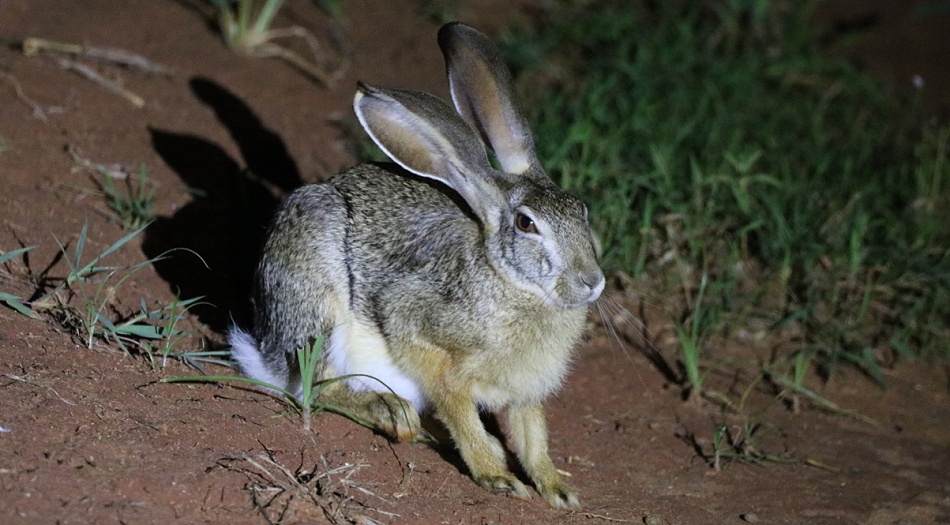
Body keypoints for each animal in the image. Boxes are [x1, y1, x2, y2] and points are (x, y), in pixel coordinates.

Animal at [228, 21, 605, 509]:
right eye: (527, 224)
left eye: (581, 210)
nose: (592, 282)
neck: (509, 280)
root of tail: (265, 353)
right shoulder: (422, 336)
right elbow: (459, 408)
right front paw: (494, 475)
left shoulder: (525, 390)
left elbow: (532, 434)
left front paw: (557, 489)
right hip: (317, 295)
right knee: (319, 387)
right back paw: (392, 412)